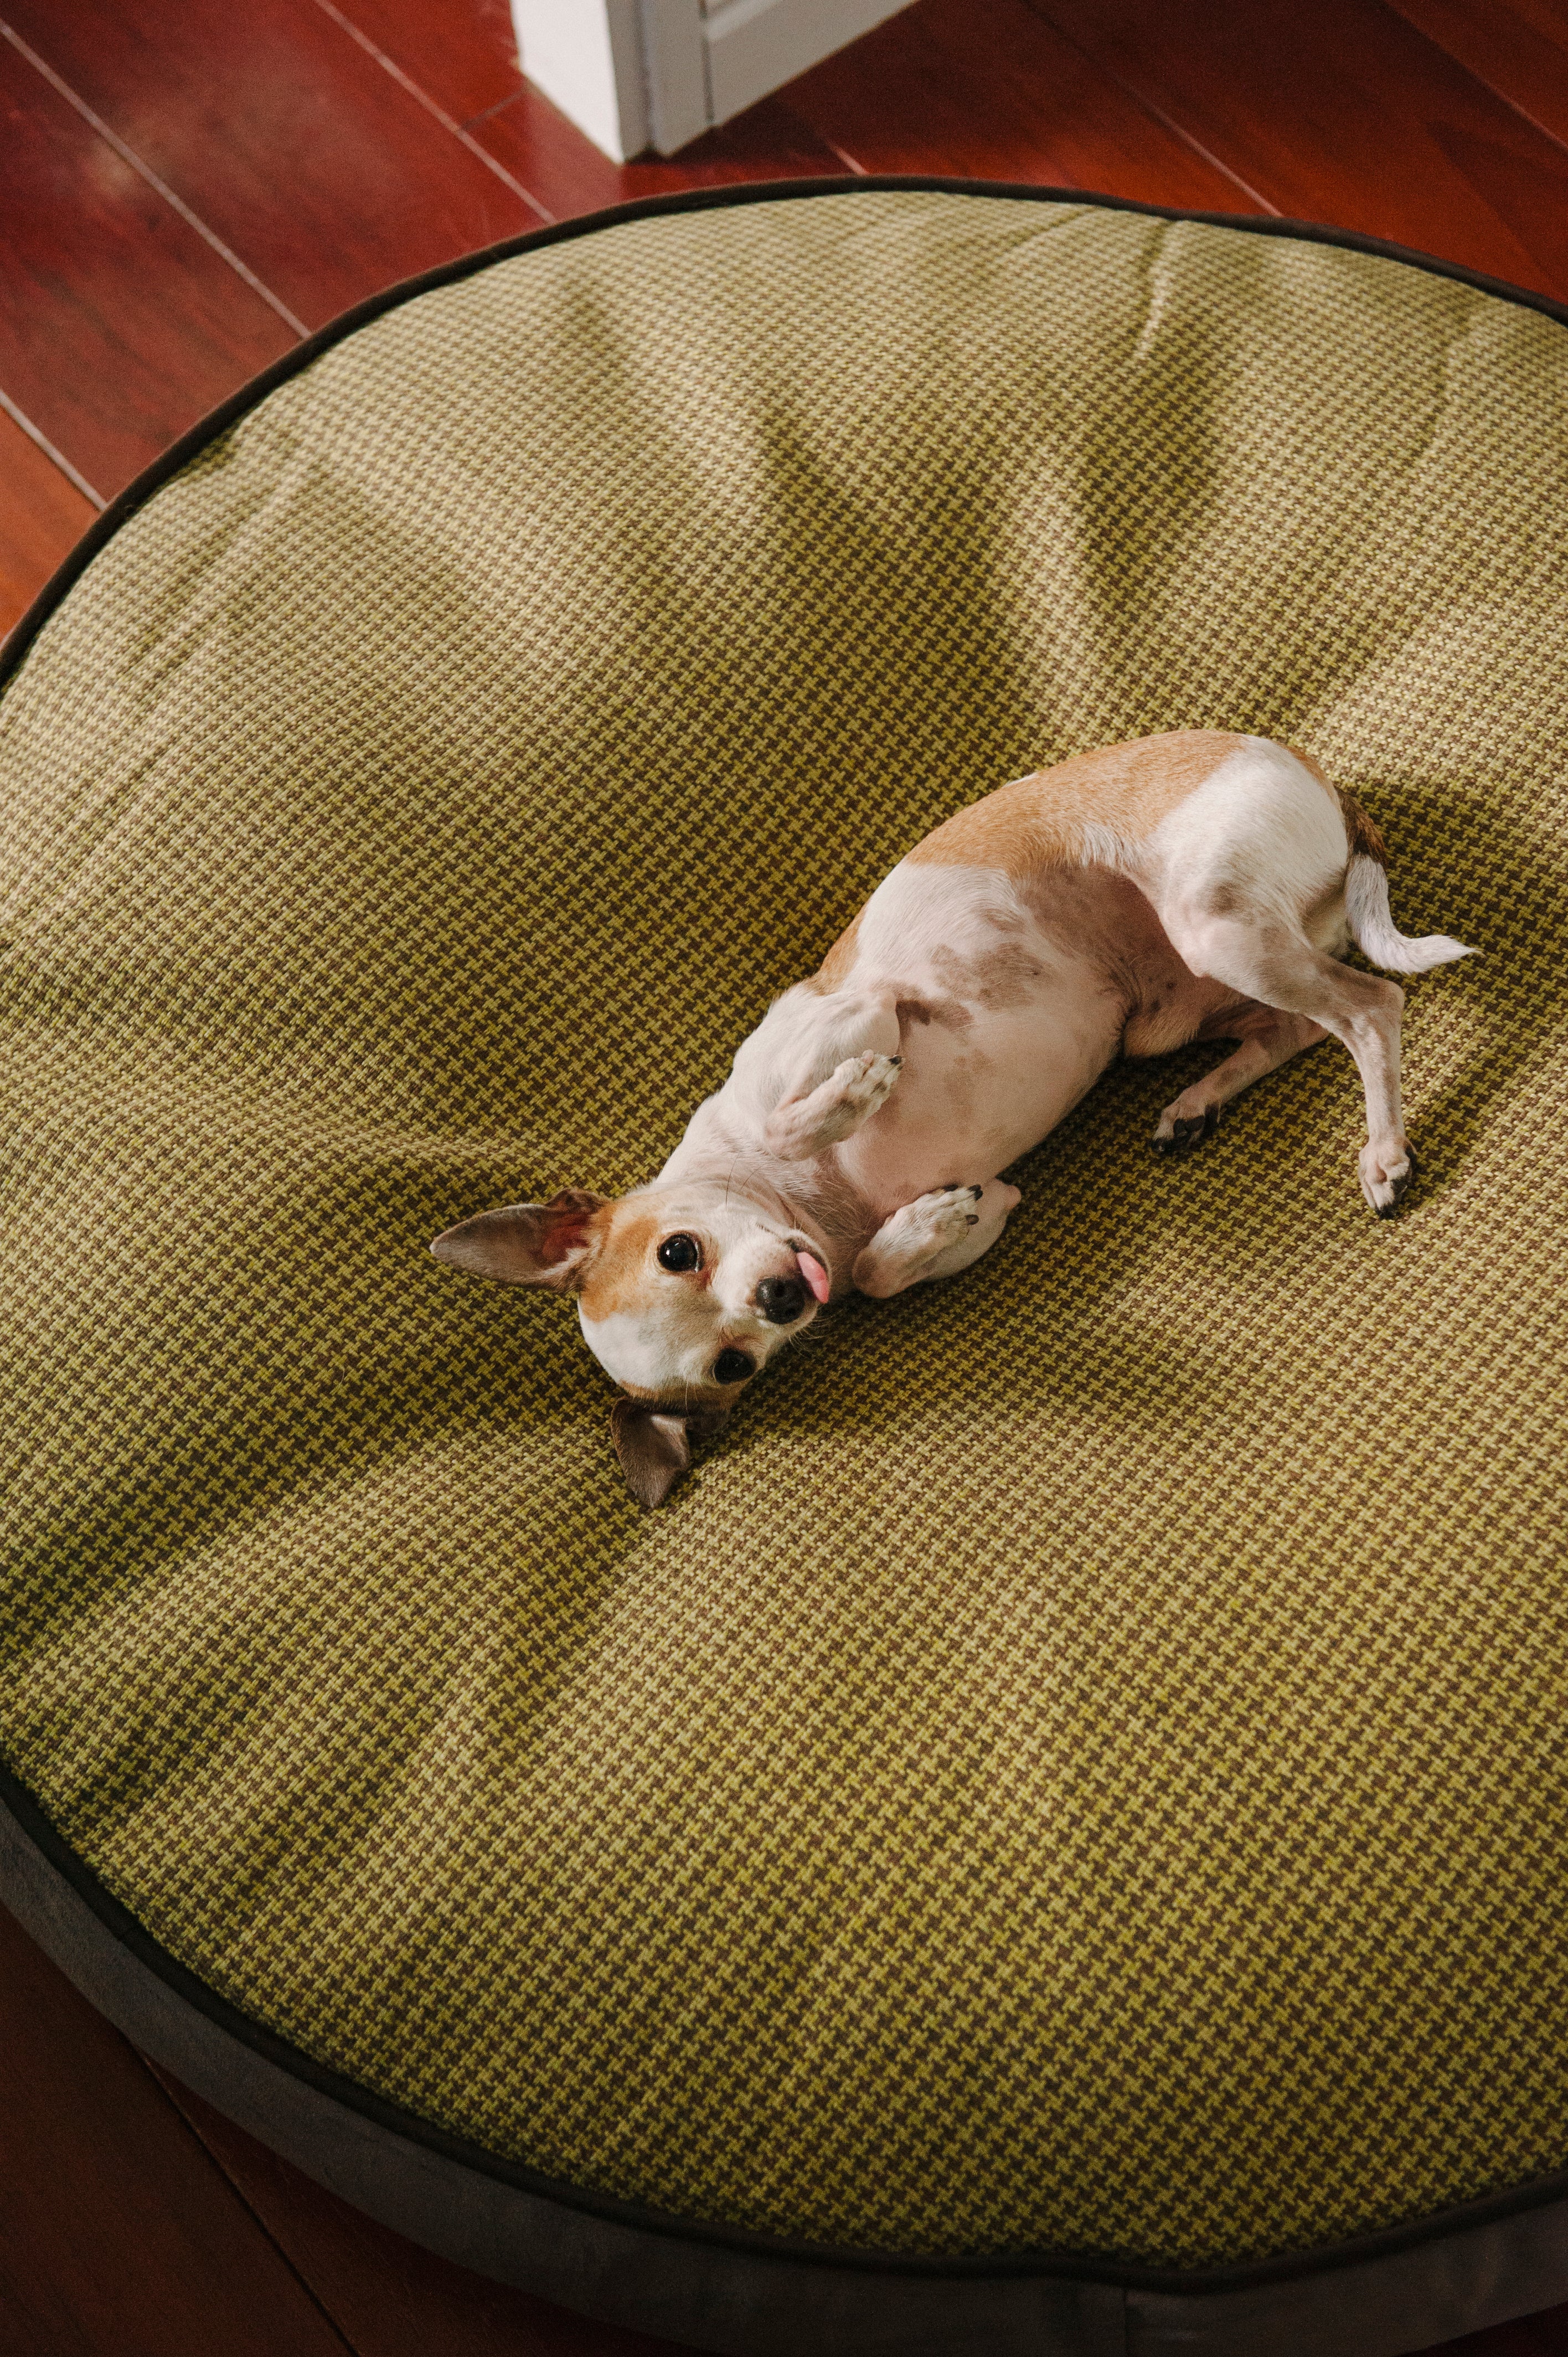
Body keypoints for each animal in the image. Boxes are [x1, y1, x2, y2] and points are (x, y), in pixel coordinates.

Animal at [429, 735, 1471, 1499]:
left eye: (677, 1250)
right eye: (732, 1367)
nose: (782, 1299)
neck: (824, 1209)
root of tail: (1321, 779)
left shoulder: (860, 1011)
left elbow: (804, 1115)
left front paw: (852, 1100)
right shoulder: (954, 1210)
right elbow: (891, 1268)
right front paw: (924, 1226)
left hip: (1214, 923)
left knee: (1371, 1009)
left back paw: (1383, 1153)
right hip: (1183, 1002)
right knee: (1299, 1028)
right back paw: (1196, 1104)